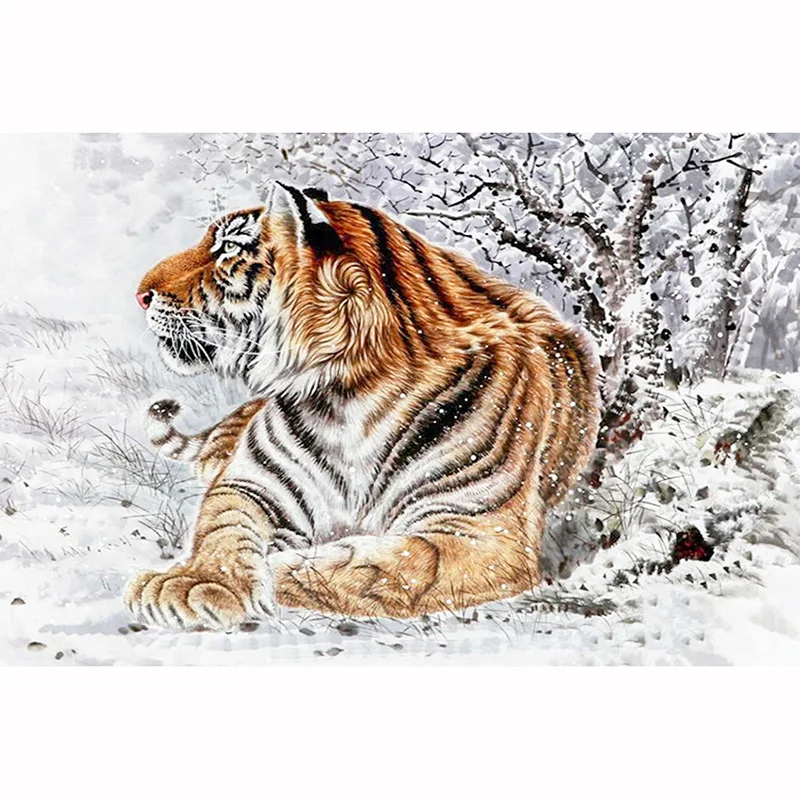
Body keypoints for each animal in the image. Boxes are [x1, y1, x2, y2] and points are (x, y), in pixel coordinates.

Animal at [125, 182, 600, 631]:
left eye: (226, 250)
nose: (140, 295)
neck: (350, 396)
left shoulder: (480, 526)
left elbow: (392, 567)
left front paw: (279, 566)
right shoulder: (251, 484)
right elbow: (221, 527)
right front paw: (196, 582)